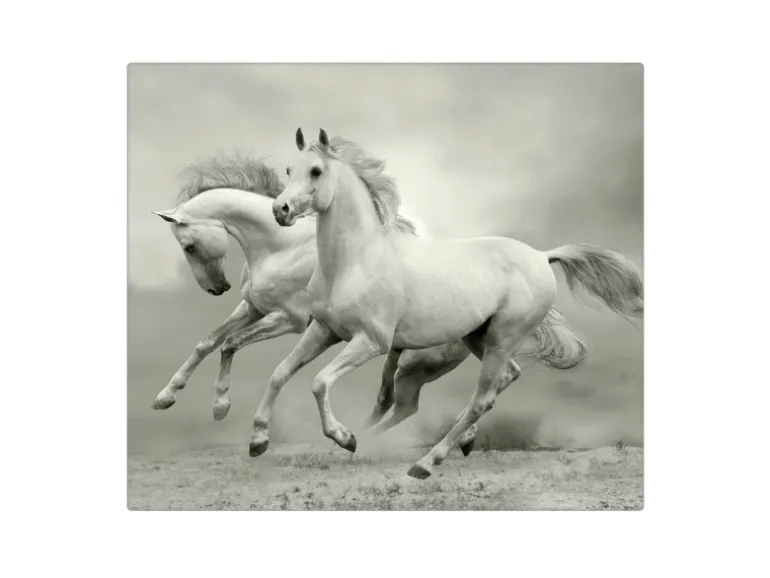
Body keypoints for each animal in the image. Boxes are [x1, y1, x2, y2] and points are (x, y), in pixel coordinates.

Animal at [150, 153, 587, 455]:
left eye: (189, 246)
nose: (218, 288)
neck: (281, 245)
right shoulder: (254, 308)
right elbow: (209, 343)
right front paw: (169, 397)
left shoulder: (288, 320)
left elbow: (230, 344)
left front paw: (222, 407)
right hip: (450, 351)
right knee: (473, 386)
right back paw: (459, 439)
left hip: (419, 363)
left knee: (422, 401)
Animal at [264, 129, 643, 479]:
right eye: (289, 169)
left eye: (316, 171)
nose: (280, 210)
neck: (355, 261)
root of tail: (542, 255)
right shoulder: (324, 330)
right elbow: (280, 373)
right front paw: (258, 440)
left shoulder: (371, 342)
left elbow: (319, 381)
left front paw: (344, 437)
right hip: (478, 337)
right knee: (505, 377)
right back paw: (453, 442)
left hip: (501, 339)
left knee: (481, 400)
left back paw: (425, 462)